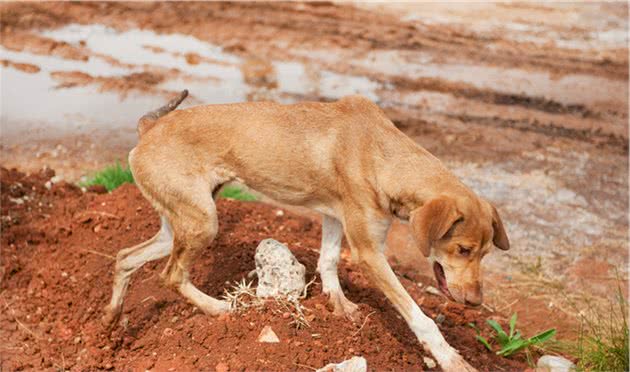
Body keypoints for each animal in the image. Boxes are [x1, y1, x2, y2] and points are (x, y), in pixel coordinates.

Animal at [102, 91, 508, 372]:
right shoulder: (369, 251)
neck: (383, 153)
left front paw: (337, 304)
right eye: (462, 249)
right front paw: (452, 359)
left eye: (486, 253)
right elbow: (420, 318)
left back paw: (111, 320)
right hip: (203, 222)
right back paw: (219, 309)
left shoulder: (334, 217)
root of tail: (148, 128)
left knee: (125, 257)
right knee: (170, 276)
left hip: (180, 223)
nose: (476, 303)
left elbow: (328, 261)